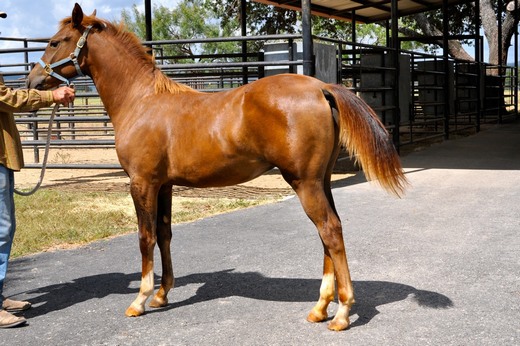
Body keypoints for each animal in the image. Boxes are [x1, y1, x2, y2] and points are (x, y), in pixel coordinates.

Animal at [28, 4, 406, 332]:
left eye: (56, 41)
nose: (31, 80)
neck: (142, 101)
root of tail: (322, 87)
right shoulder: (164, 185)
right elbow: (164, 234)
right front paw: (163, 294)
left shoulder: (142, 183)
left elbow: (145, 237)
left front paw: (140, 300)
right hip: (320, 181)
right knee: (330, 232)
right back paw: (320, 308)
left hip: (305, 183)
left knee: (329, 231)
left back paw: (341, 313)